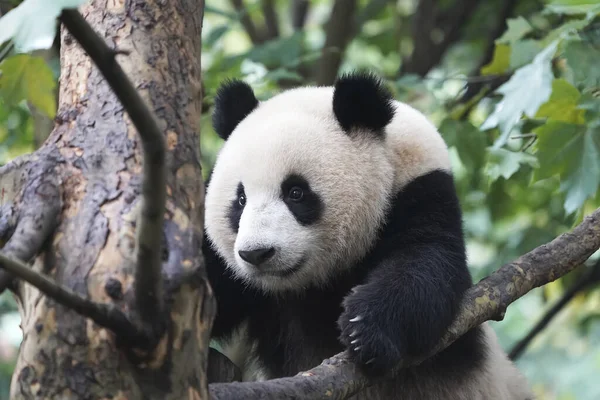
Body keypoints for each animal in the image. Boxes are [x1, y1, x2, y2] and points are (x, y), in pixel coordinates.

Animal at [204, 72, 532, 400]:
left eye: (295, 192)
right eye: (241, 199)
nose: (256, 253)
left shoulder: (421, 192)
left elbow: (424, 267)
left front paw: (364, 329)